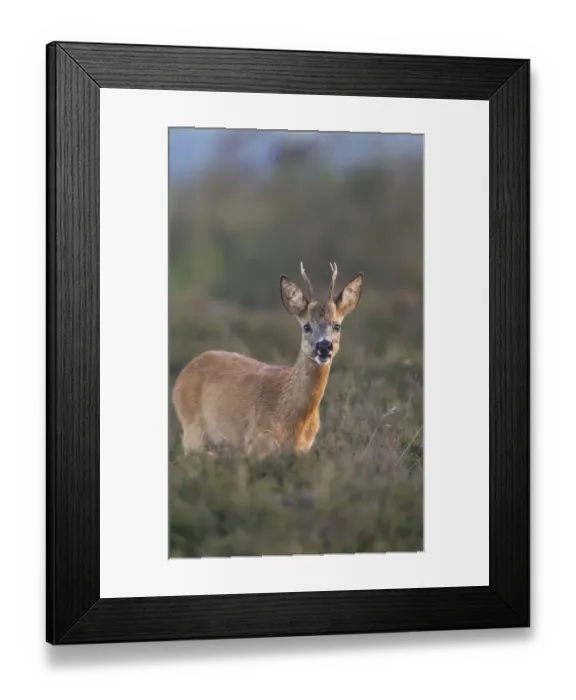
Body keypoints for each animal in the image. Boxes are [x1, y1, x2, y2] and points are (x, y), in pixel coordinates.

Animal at [171, 263, 364, 460]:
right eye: (306, 326)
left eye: (337, 325)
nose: (324, 346)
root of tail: (184, 373)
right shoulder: (257, 443)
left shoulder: (303, 449)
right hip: (192, 433)